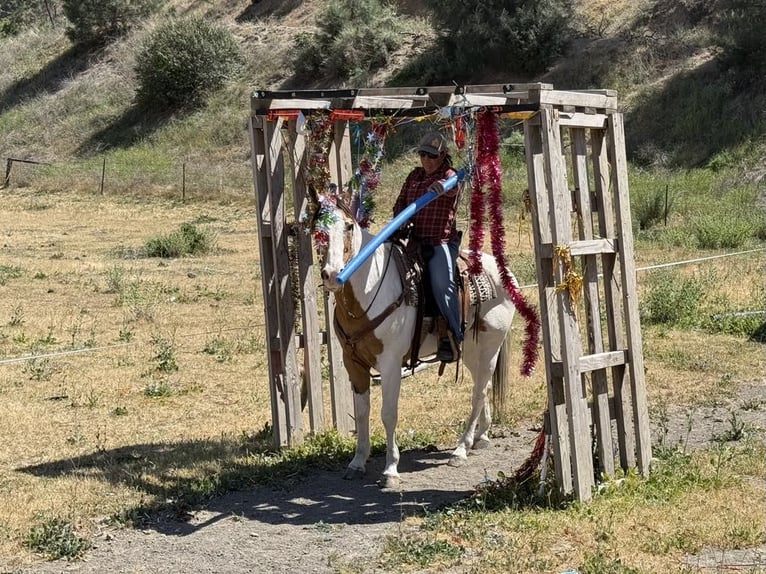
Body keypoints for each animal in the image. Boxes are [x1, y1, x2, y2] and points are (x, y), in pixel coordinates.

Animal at [316, 196, 522, 489]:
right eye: (317, 229)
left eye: (347, 226)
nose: (333, 274)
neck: (369, 291)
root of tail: (502, 270)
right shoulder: (352, 362)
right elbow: (363, 411)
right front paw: (357, 462)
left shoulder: (390, 364)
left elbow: (388, 414)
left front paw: (391, 469)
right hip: (471, 352)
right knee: (484, 387)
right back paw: (480, 436)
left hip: (489, 348)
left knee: (479, 392)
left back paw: (461, 449)